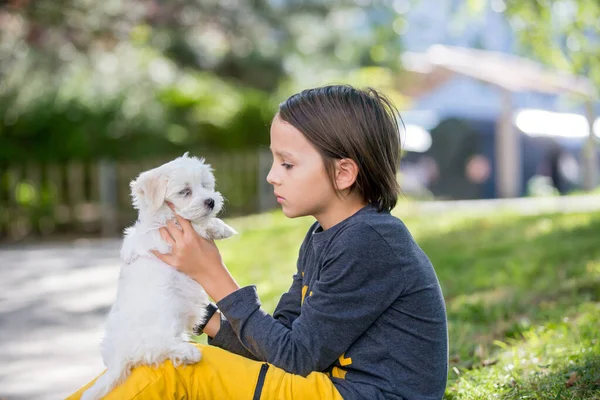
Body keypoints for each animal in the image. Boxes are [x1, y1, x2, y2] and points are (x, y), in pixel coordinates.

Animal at [81, 153, 236, 400]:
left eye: (205, 186)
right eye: (185, 191)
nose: (211, 201)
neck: (165, 215)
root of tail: (119, 357)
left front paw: (221, 227)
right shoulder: (164, 237)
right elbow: (195, 225)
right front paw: (211, 228)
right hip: (163, 319)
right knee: (156, 348)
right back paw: (189, 352)